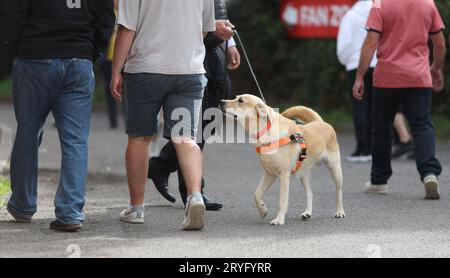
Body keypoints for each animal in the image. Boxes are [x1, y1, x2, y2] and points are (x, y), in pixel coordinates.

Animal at [221, 94, 344, 225]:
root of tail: (320, 122)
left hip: (335, 169)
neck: (265, 130)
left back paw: (339, 212)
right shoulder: (269, 174)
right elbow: (256, 194)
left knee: (339, 192)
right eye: (236, 97)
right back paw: (307, 213)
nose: (221, 102)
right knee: (310, 193)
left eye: (240, 100)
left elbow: (282, 200)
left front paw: (279, 219)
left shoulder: (284, 175)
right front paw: (263, 210)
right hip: (304, 174)